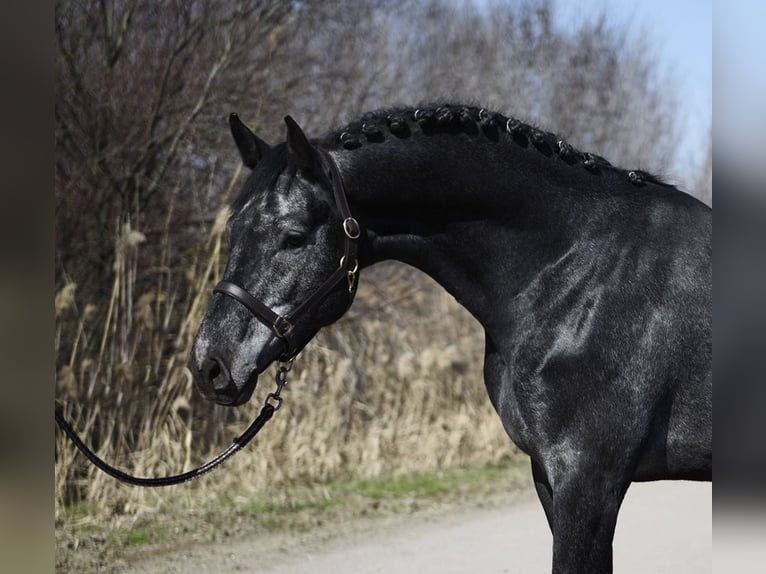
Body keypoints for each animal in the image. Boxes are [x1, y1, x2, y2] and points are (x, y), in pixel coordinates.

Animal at [189, 104, 712, 573]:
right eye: (232, 229)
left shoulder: (589, 481)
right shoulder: (550, 477)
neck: (579, 270)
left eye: (294, 236)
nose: (210, 364)